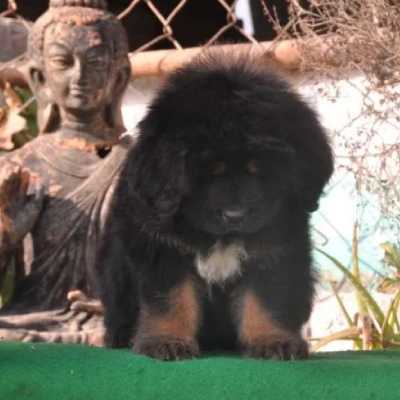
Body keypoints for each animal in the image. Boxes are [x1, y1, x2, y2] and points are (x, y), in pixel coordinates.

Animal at [99, 50, 334, 362]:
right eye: (207, 173)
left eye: (261, 170)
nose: (235, 216)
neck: (220, 238)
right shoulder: (161, 249)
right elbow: (170, 300)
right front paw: (166, 341)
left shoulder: (274, 250)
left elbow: (267, 298)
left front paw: (272, 341)